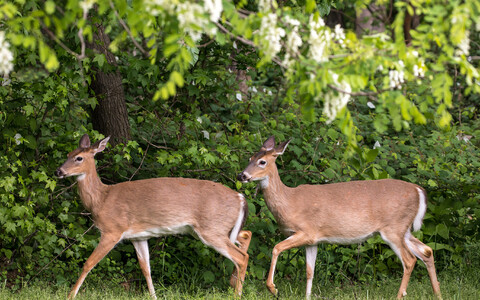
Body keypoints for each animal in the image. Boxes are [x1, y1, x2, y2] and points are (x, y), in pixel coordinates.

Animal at [54, 135, 253, 298]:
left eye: (79, 158)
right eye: (68, 154)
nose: (58, 171)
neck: (101, 199)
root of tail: (240, 198)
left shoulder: (112, 230)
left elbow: (88, 263)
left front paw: (70, 295)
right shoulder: (138, 236)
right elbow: (146, 269)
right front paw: (154, 296)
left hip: (211, 228)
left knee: (241, 257)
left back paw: (237, 294)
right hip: (217, 228)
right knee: (246, 236)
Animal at [237, 137, 442, 300]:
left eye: (262, 162)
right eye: (249, 159)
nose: (242, 175)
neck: (289, 202)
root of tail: (418, 190)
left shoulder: (306, 231)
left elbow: (276, 248)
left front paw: (273, 288)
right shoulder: (313, 240)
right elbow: (310, 271)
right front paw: (307, 296)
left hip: (393, 228)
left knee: (409, 260)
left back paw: (400, 296)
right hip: (403, 229)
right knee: (427, 251)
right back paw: (437, 294)